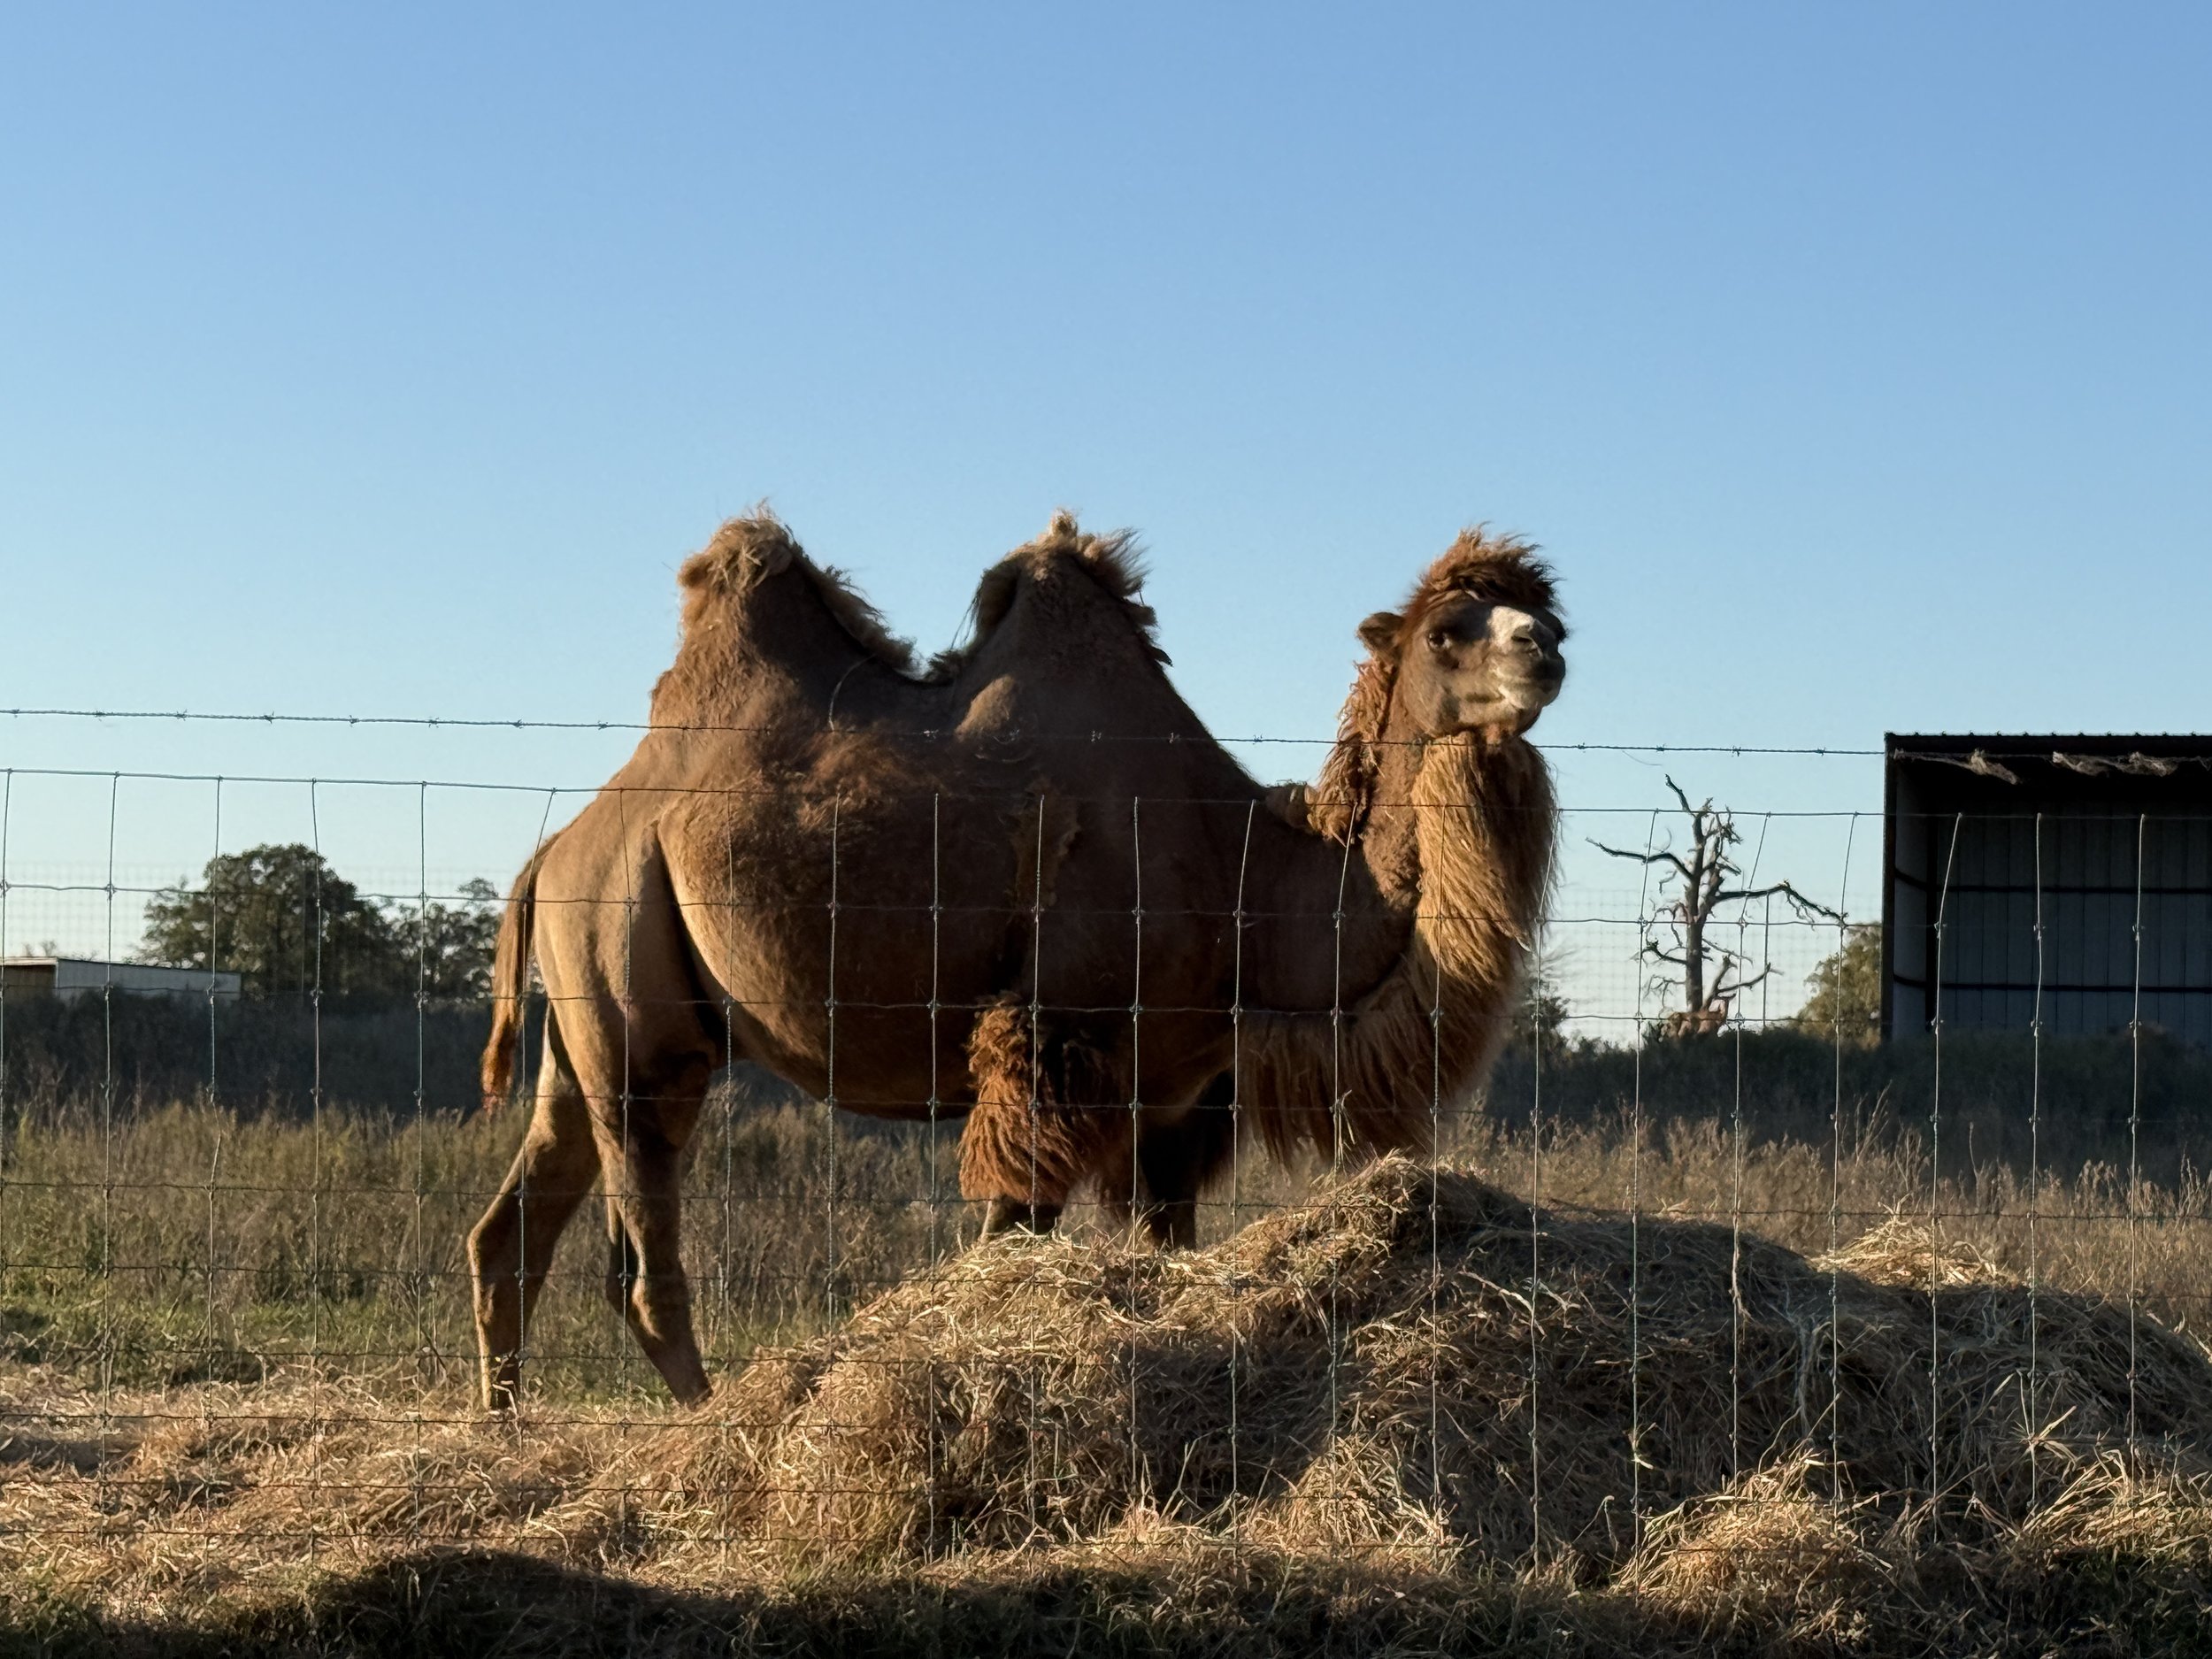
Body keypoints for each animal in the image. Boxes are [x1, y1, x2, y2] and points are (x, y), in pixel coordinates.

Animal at [466, 510, 1565, 1409]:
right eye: (1446, 630)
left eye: (1546, 615)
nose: (1544, 651)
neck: (1241, 882)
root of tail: (553, 851)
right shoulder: (1051, 1048)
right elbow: (1006, 1245)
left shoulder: (1173, 1099)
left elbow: (1160, 1255)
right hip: (634, 999)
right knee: (640, 1265)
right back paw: (710, 1419)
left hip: (582, 1027)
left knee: (509, 1233)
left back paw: (502, 1424)